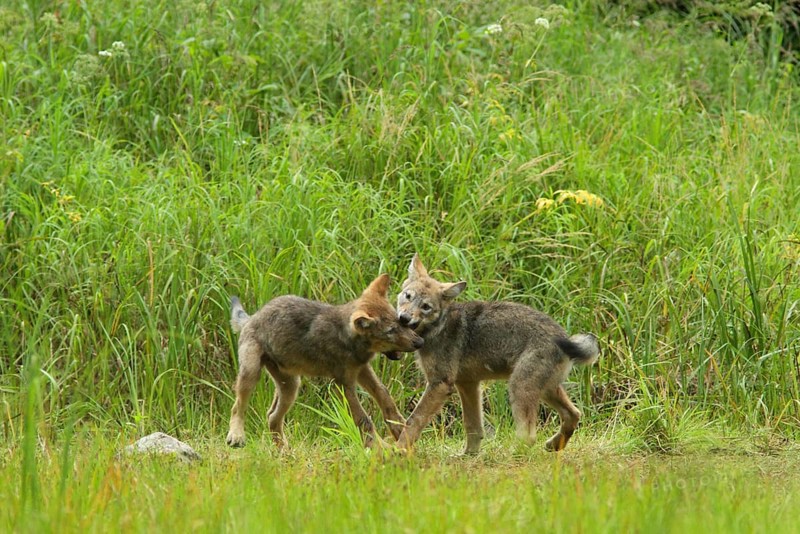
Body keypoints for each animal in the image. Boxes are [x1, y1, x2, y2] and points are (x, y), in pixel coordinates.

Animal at [226, 274, 423, 449]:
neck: (347, 338)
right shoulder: (342, 385)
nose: (420, 342)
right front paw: (380, 448)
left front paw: (401, 429)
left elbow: (385, 396)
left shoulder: (361, 370)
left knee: (271, 417)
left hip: (290, 386)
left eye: (401, 322)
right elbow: (363, 420)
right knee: (237, 407)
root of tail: (252, 318)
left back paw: (286, 453)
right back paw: (236, 436)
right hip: (251, 373)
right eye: (390, 331)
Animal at [395, 254, 599, 454]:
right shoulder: (468, 384)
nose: (404, 318)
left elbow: (413, 420)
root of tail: (563, 336)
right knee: (574, 414)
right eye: (408, 296)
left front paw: (397, 450)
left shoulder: (440, 384)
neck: (437, 327)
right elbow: (473, 426)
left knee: (530, 436)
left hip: (519, 387)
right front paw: (469, 455)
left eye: (426, 306)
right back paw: (553, 445)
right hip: (547, 389)